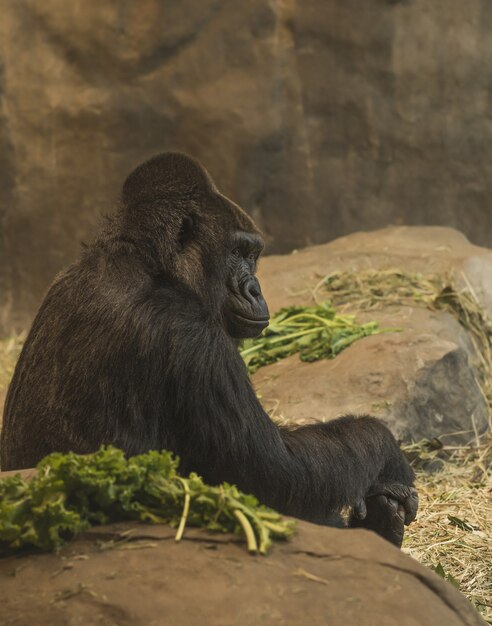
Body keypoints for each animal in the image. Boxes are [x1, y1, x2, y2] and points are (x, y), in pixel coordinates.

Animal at [0, 154, 418, 544]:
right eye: (238, 252)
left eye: (252, 255)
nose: (255, 290)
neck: (144, 260)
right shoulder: (194, 336)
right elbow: (277, 473)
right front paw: (385, 450)